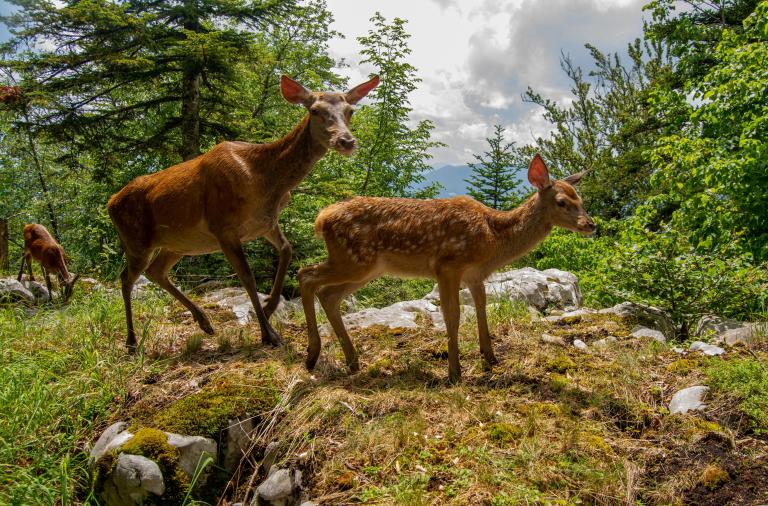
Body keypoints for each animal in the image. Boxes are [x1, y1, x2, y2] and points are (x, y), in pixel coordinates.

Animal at [108, 74, 380, 352]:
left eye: (350, 111)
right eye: (314, 110)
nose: (346, 141)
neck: (265, 182)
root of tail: (110, 201)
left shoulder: (265, 222)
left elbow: (286, 250)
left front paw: (270, 307)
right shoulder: (222, 225)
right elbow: (247, 277)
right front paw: (268, 333)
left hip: (178, 243)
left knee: (156, 271)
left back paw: (204, 322)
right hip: (135, 238)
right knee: (126, 278)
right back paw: (132, 341)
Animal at [298, 154, 595, 383]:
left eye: (580, 199)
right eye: (562, 202)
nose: (590, 225)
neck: (492, 239)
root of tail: (321, 218)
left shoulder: (475, 275)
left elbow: (481, 308)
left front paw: (490, 357)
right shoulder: (447, 265)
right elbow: (452, 316)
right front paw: (454, 373)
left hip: (366, 268)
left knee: (328, 294)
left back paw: (352, 360)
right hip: (353, 259)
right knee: (306, 275)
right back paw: (312, 355)